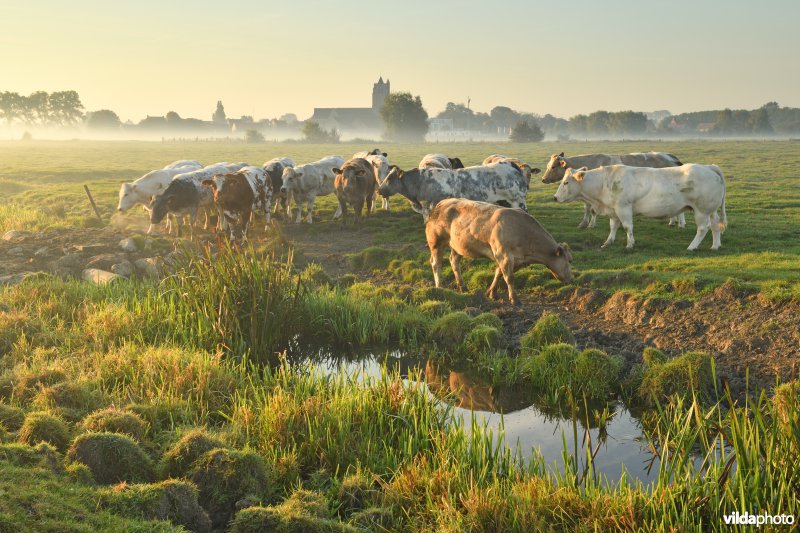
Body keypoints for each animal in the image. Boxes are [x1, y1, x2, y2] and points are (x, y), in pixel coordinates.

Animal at [428, 196, 572, 306]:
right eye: (570, 261)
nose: (572, 278)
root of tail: (442, 202)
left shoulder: (514, 260)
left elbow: (499, 273)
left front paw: (491, 293)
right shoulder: (504, 254)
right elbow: (509, 278)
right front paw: (515, 300)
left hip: (458, 246)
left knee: (454, 262)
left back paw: (462, 286)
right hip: (436, 242)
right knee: (436, 264)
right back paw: (439, 286)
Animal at [540, 153, 684, 230]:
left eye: (553, 167)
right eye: (547, 166)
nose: (543, 179)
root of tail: (670, 156)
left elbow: (592, 211)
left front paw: (591, 224)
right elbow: (587, 209)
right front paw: (583, 223)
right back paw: (673, 222)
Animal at [552, 163, 728, 250]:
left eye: (565, 182)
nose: (555, 197)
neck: (603, 182)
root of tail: (709, 167)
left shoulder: (624, 208)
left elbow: (627, 227)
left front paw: (630, 244)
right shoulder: (614, 210)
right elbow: (613, 227)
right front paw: (608, 242)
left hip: (701, 210)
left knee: (703, 229)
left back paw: (692, 247)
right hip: (711, 210)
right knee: (715, 225)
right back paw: (715, 245)